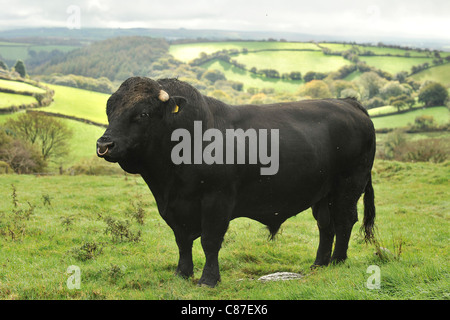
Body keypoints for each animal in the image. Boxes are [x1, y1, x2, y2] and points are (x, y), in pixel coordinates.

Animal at [96, 77, 374, 288]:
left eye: (142, 113)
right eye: (110, 111)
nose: (104, 144)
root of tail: (348, 102)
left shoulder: (217, 199)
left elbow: (210, 241)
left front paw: (208, 280)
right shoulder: (174, 206)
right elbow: (182, 241)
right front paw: (182, 274)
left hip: (349, 185)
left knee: (344, 221)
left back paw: (338, 261)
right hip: (322, 192)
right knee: (326, 225)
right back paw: (319, 263)